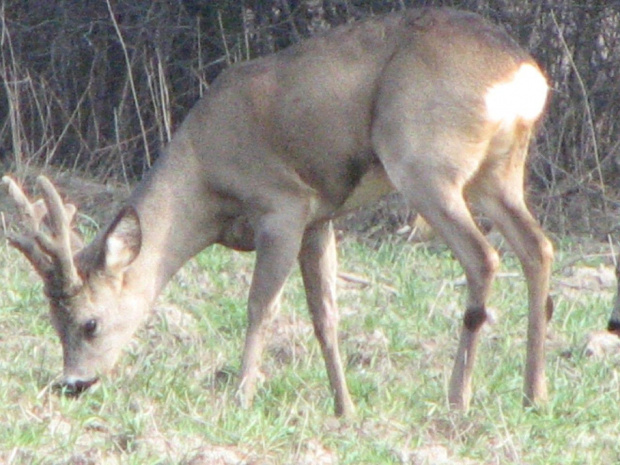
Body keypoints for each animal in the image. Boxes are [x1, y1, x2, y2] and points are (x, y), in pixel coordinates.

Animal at [1, 7, 552, 416]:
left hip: (423, 161)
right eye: (53, 320)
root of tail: (522, 74)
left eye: (90, 323)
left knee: (483, 257)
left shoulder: (283, 204)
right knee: (538, 248)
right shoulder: (320, 219)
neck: (205, 177)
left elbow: (260, 304)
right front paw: (344, 408)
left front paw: (242, 394)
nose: (73, 383)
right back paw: (532, 394)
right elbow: (325, 315)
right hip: (496, 173)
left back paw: (458, 399)